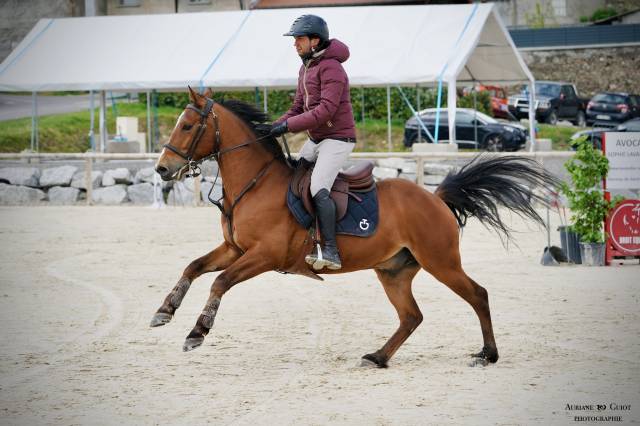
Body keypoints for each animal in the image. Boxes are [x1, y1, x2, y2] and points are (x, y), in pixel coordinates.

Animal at [150, 86, 556, 366]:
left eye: (187, 126)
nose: (162, 169)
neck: (256, 183)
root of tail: (436, 197)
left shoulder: (264, 255)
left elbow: (219, 281)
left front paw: (197, 332)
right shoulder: (234, 248)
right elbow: (193, 267)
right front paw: (165, 311)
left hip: (442, 263)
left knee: (478, 295)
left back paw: (487, 354)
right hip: (393, 272)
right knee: (412, 316)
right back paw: (377, 357)